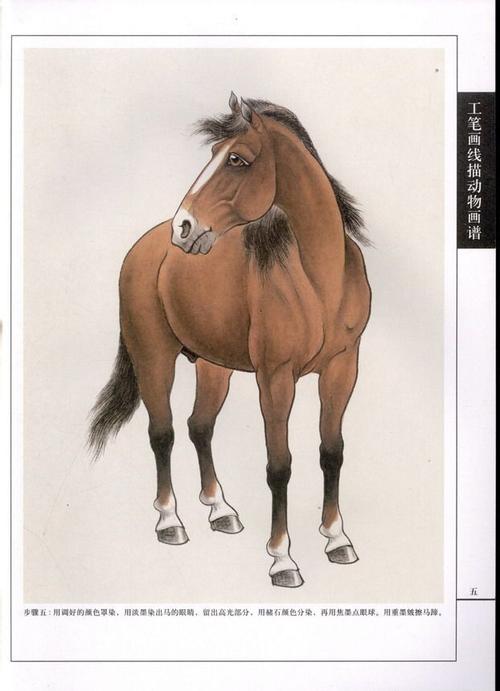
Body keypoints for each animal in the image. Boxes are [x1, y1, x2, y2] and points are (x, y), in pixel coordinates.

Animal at [89, 93, 371, 588]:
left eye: (237, 159)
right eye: (214, 154)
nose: (184, 227)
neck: (321, 282)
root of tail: (145, 249)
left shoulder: (343, 368)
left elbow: (331, 453)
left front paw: (337, 540)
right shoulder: (275, 379)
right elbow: (279, 466)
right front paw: (282, 560)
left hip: (212, 367)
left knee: (199, 426)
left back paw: (220, 511)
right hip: (154, 359)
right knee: (162, 433)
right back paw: (170, 522)